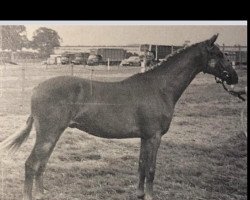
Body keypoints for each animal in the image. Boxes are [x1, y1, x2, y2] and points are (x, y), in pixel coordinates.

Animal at [0, 34, 238, 200]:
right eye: (219, 55)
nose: (234, 77)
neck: (160, 87)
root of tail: (36, 88)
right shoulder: (154, 137)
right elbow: (151, 169)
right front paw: (150, 195)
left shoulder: (145, 137)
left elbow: (141, 166)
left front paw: (140, 194)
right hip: (48, 134)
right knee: (31, 164)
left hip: (53, 134)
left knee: (41, 164)